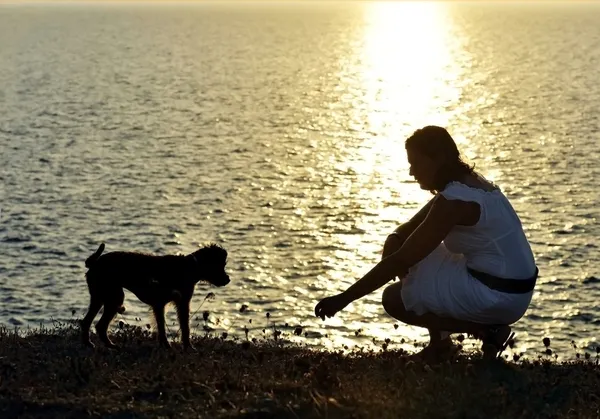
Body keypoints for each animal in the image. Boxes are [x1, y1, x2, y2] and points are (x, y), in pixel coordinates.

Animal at [80, 241, 230, 350]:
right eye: (220, 265)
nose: (227, 279)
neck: (188, 267)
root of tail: (94, 263)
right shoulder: (160, 304)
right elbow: (162, 327)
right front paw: (167, 347)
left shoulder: (181, 304)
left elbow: (184, 327)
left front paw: (187, 347)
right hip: (113, 297)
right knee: (99, 325)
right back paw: (106, 345)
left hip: (101, 298)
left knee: (89, 322)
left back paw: (95, 344)